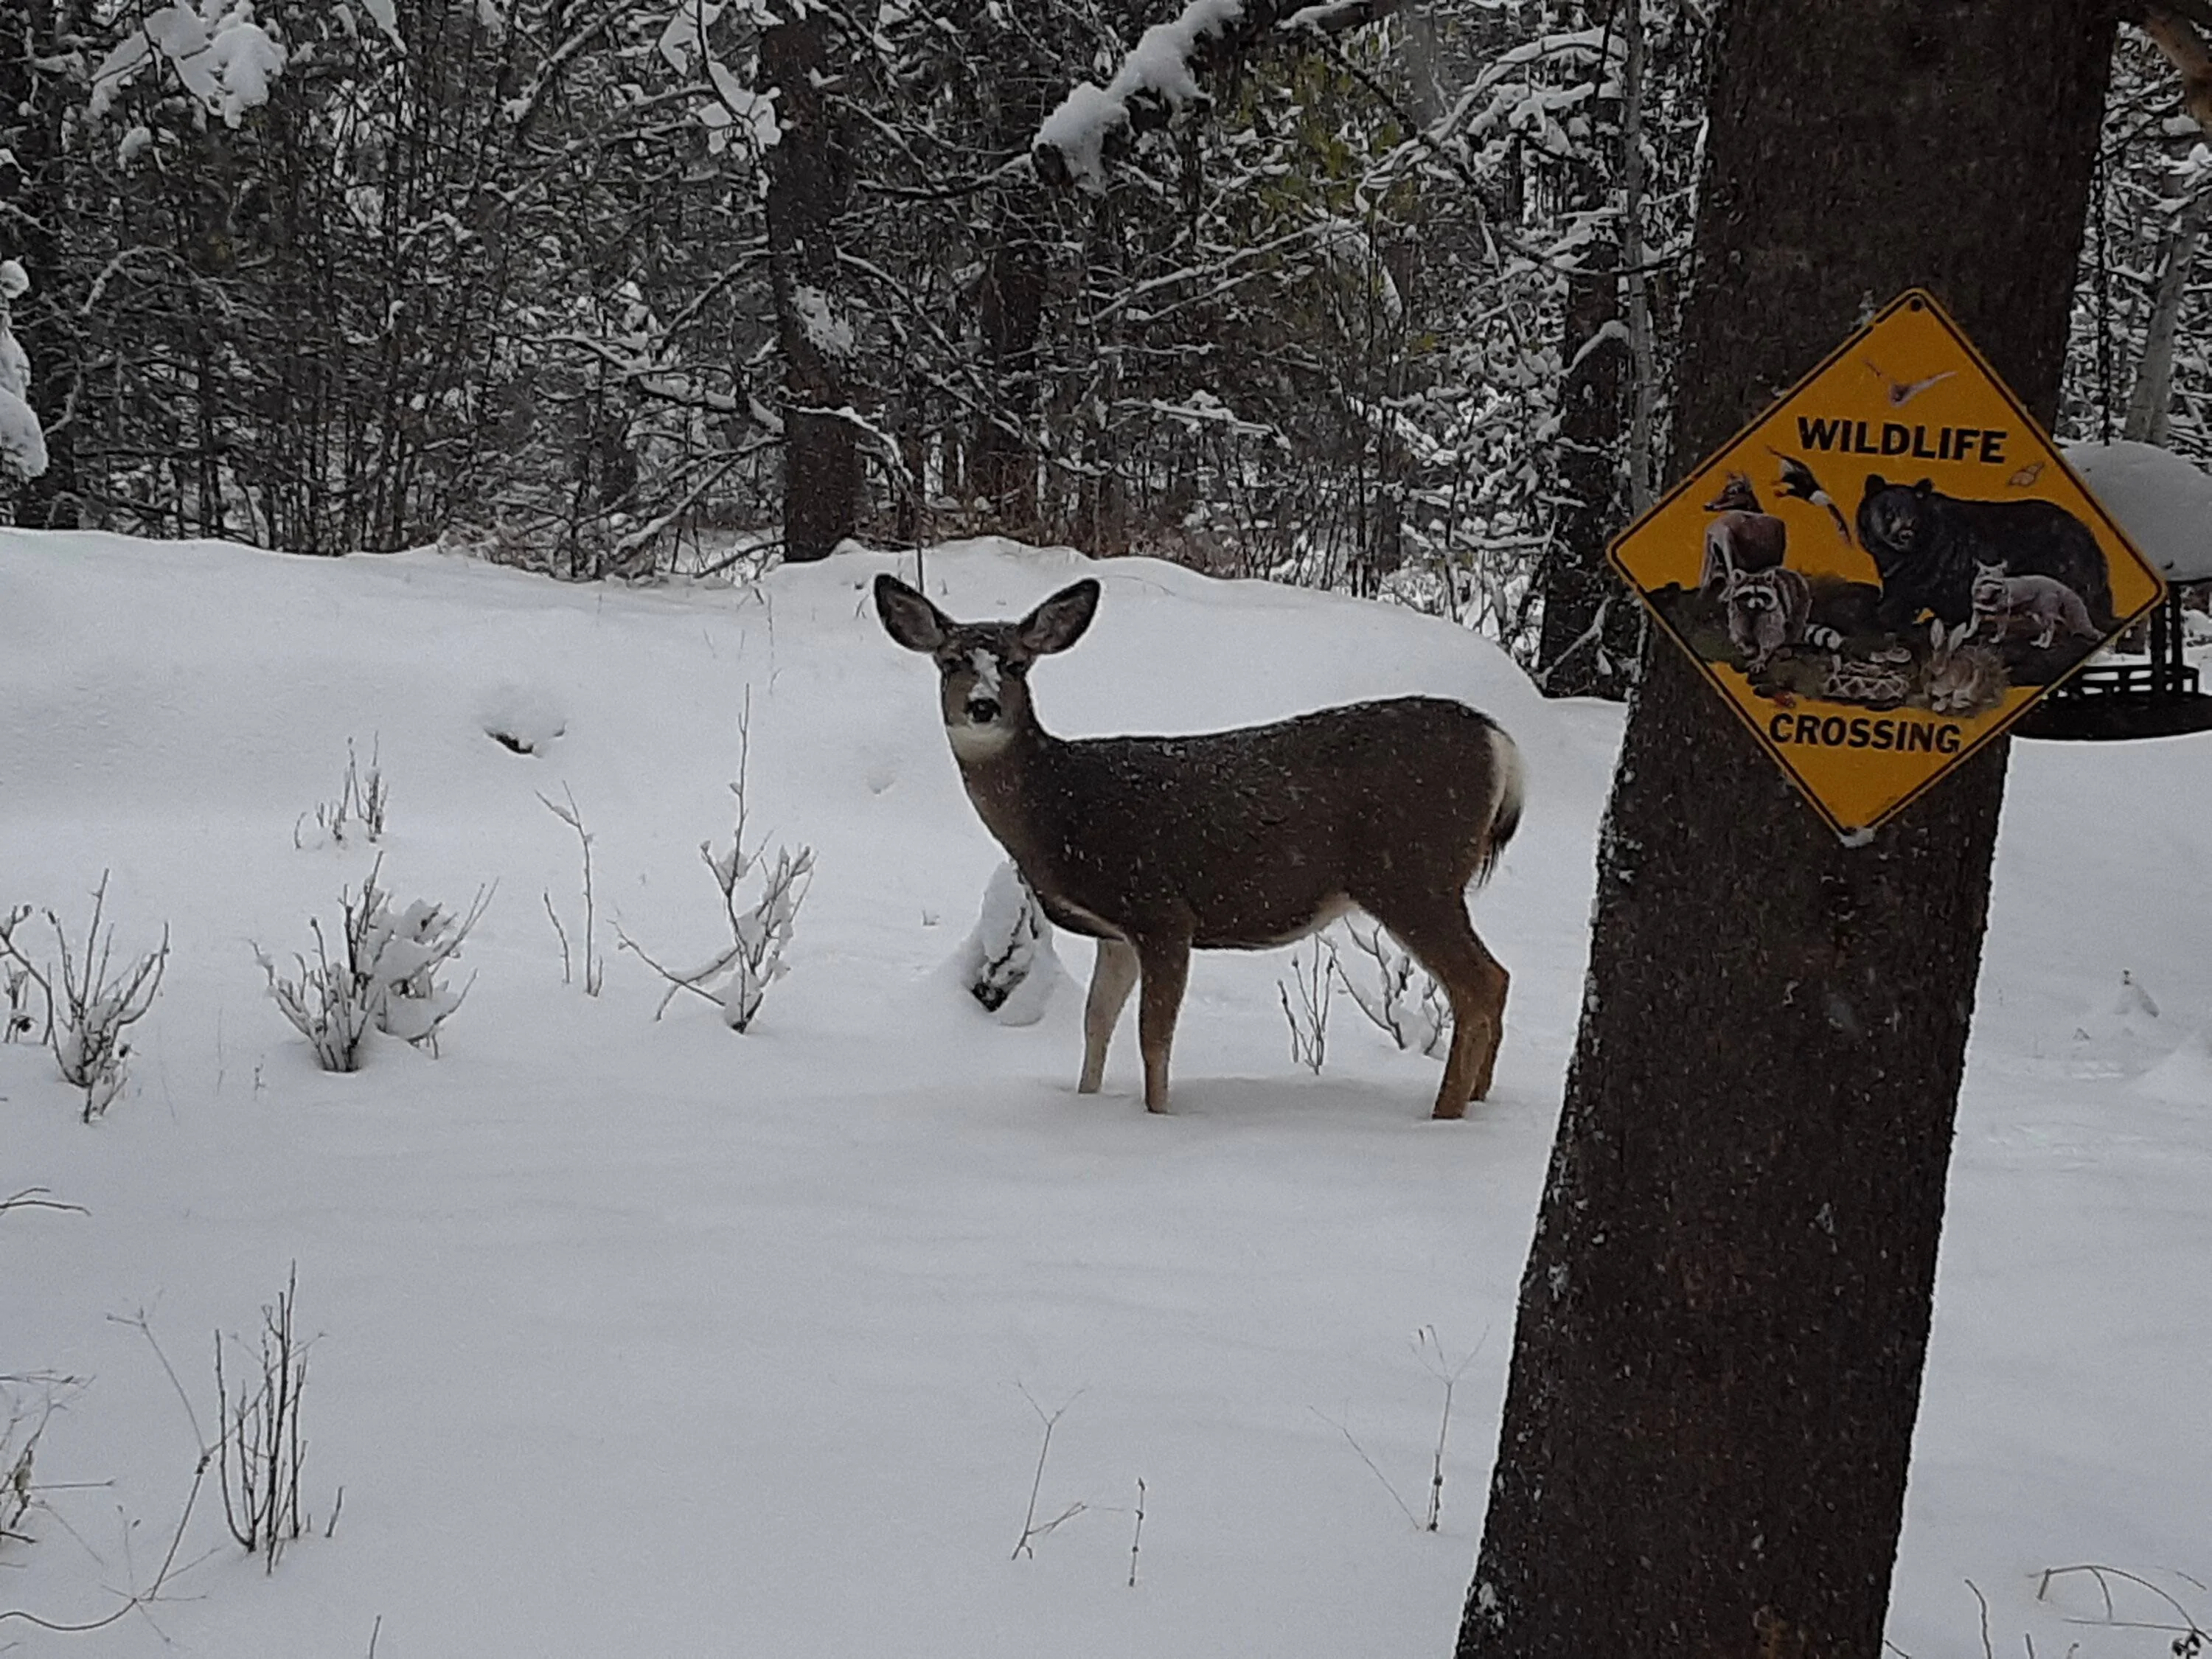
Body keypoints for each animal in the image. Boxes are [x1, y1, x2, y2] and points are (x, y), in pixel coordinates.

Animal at [873, 572, 1523, 1120]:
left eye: (1015, 664)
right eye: (950, 662)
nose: (982, 706)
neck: (1062, 807)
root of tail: (1502, 743)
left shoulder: (1161, 910)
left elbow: (1153, 1037)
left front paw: (1157, 1119)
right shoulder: (1117, 932)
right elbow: (1096, 1023)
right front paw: (1086, 1102)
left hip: (1411, 871)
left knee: (1479, 984)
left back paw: (1443, 1116)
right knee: (1498, 979)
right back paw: (1479, 1103)